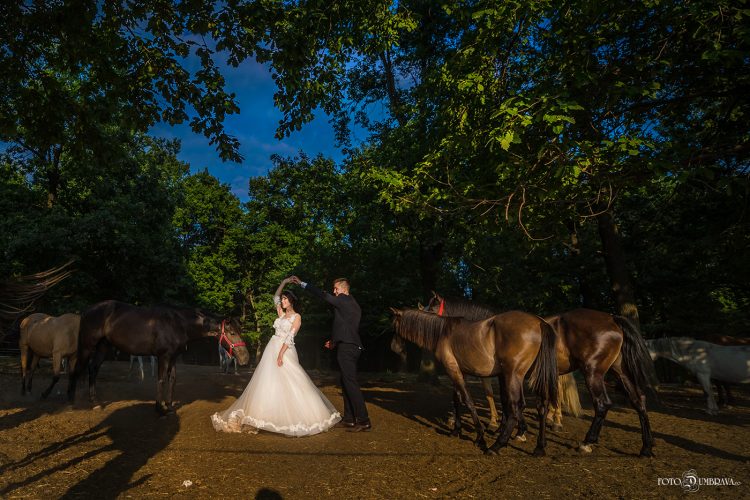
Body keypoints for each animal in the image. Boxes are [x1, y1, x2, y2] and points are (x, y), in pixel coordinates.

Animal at [68, 300, 251, 414]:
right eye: (232, 332)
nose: (245, 358)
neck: (178, 323)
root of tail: (87, 311)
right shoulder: (163, 356)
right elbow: (161, 379)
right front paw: (159, 408)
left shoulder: (173, 357)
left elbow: (172, 380)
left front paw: (169, 406)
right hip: (87, 346)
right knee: (76, 369)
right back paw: (71, 402)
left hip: (103, 347)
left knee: (93, 369)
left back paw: (95, 402)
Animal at [390, 307, 558, 456]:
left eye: (394, 325)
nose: (394, 348)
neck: (443, 332)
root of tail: (539, 322)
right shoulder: (460, 371)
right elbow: (456, 399)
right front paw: (456, 430)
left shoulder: (453, 370)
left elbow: (468, 400)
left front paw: (480, 437)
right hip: (534, 376)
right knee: (541, 406)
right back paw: (539, 447)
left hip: (512, 375)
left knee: (516, 407)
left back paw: (496, 446)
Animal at [426, 293, 656, 457]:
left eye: (431, 306)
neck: (488, 328)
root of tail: (613, 319)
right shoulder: (510, 374)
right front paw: (516, 430)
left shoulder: (505, 374)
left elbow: (505, 401)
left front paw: (508, 430)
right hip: (619, 370)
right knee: (639, 400)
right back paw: (646, 447)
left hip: (593, 372)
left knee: (601, 404)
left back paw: (586, 441)